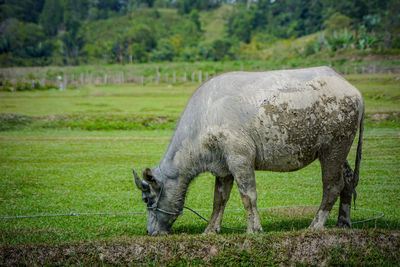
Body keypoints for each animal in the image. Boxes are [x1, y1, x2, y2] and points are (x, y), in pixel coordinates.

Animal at [133, 67, 364, 237]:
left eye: (147, 199)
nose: (149, 231)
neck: (204, 120)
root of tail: (355, 93)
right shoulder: (223, 168)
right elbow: (219, 200)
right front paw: (210, 230)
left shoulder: (240, 159)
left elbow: (248, 195)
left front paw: (254, 229)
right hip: (338, 152)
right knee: (348, 181)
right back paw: (343, 222)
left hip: (333, 148)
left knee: (333, 186)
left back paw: (315, 225)